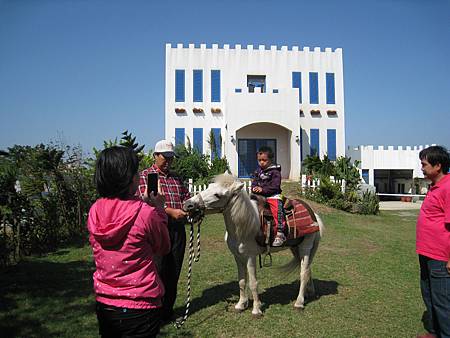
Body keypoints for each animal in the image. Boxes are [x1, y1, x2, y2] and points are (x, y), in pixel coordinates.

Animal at [183, 174, 324, 316]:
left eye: (218, 195)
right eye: (209, 186)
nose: (188, 204)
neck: (244, 226)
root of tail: (314, 215)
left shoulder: (250, 257)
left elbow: (253, 283)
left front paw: (256, 309)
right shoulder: (238, 257)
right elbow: (241, 281)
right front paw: (241, 305)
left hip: (305, 248)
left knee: (303, 273)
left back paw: (299, 302)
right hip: (295, 248)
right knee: (307, 269)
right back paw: (309, 292)